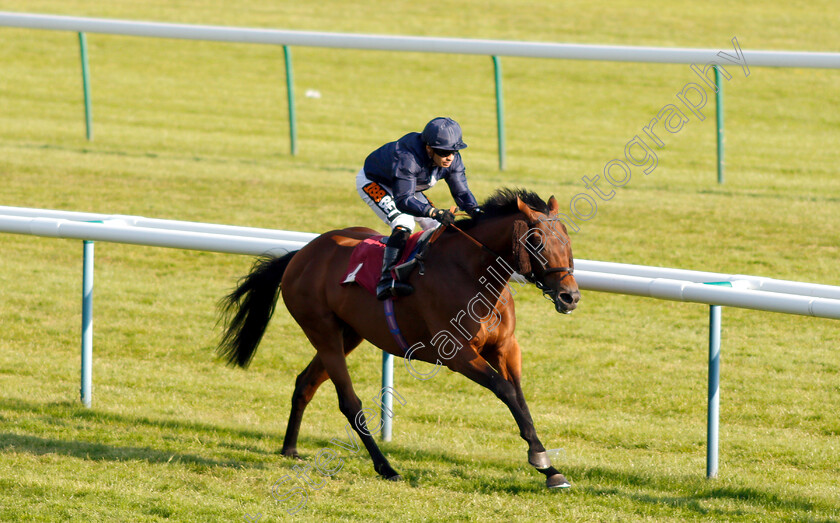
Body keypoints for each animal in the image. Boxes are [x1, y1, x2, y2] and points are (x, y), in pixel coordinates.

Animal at [218, 186, 576, 490]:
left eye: (567, 240)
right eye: (537, 241)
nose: (569, 297)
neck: (472, 273)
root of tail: (300, 254)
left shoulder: (505, 347)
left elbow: (520, 398)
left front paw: (550, 468)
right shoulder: (458, 354)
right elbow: (505, 390)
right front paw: (540, 459)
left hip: (349, 334)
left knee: (305, 382)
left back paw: (290, 449)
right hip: (322, 331)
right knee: (349, 403)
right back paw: (386, 467)